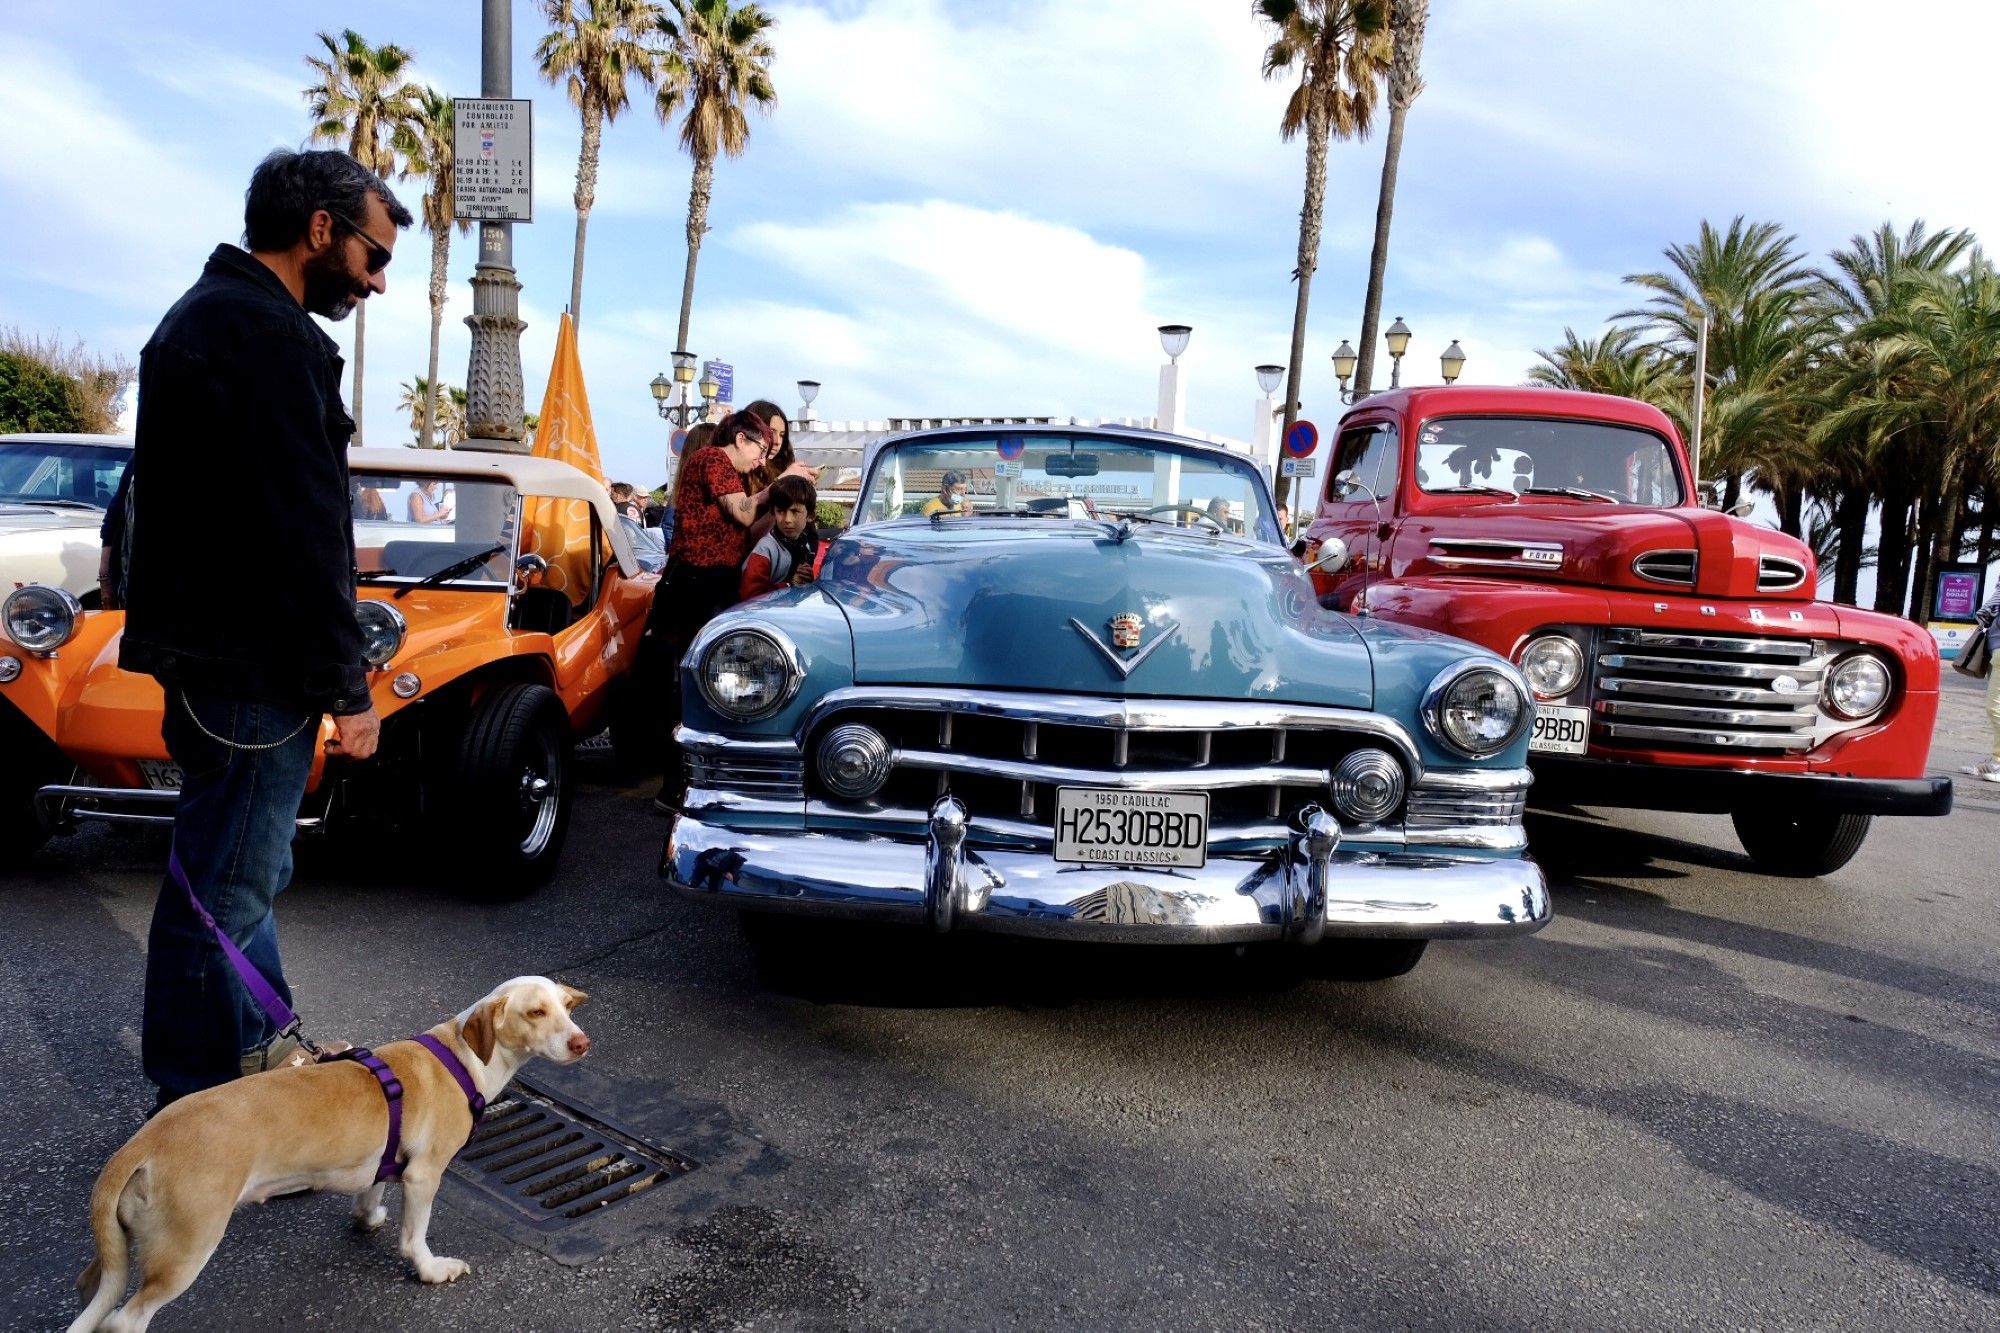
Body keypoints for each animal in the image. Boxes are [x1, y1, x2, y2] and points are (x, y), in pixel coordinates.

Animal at [74, 972, 588, 1320]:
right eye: (536, 1012)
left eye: (567, 1007)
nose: (583, 1043)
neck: (462, 1057)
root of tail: (145, 1141)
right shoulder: (424, 1175)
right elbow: (414, 1238)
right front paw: (430, 1269)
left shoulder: (386, 1160)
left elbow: (372, 1190)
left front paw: (368, 1216)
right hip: (185, 1249)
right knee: (123, 1321)